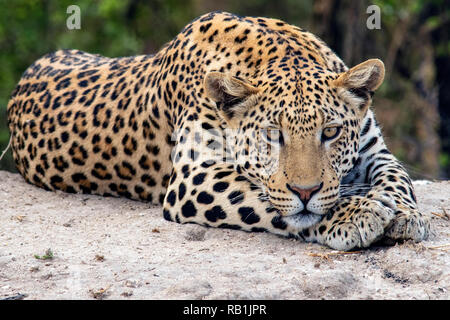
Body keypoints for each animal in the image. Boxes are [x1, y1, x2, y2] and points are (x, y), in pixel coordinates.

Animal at [5, 11, 430, 251]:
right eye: (272, 134)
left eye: (331, 132)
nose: (306, 190)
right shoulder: (195, 176)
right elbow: (272, 201)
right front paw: (355, 215)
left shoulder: (376, 151)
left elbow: (397, 179)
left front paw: (405, 215)